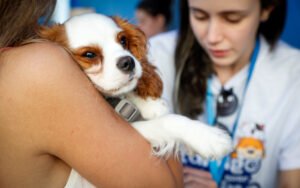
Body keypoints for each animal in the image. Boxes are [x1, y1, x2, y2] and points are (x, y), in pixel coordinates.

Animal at [39, 12, 232, 158]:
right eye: (89, 54)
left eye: (123, 41)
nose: (128, 62)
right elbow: (169, 121)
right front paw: (210, 138)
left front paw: (150, 105)